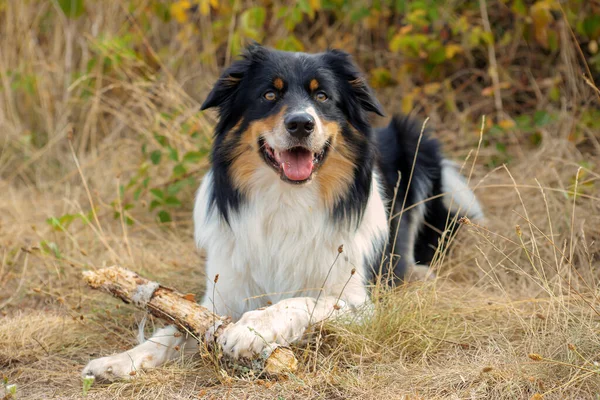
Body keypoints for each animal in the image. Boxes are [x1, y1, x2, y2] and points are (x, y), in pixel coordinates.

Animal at [81, 45, 482, 380]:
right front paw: (118, 361)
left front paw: (251, 329)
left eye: (322, 96)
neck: (288, 200)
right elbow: (172, 329)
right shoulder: (221, 297)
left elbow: (301, 301)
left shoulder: (360, 303)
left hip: (418, 143)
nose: (301, 123)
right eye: (269, 95)